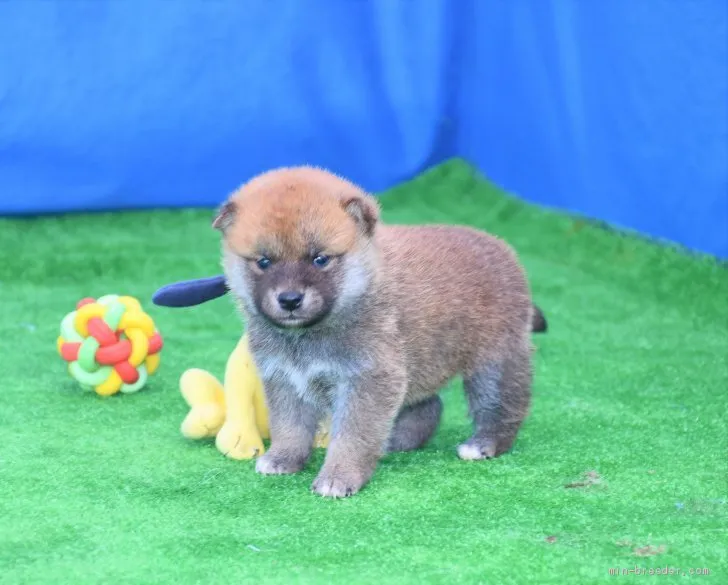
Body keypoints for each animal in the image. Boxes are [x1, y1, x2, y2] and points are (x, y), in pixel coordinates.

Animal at [213, 165, 544, 498]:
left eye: (320, 259)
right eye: (263, 262)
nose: (290, 299)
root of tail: (502, 248)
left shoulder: (367, 379)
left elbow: (351, 436)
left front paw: (339, 475)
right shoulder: (284, 378)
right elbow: (289, 427)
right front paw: (283, 458)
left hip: (494, 362)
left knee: (502, 406)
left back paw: (484, 444)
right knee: (429, 406)